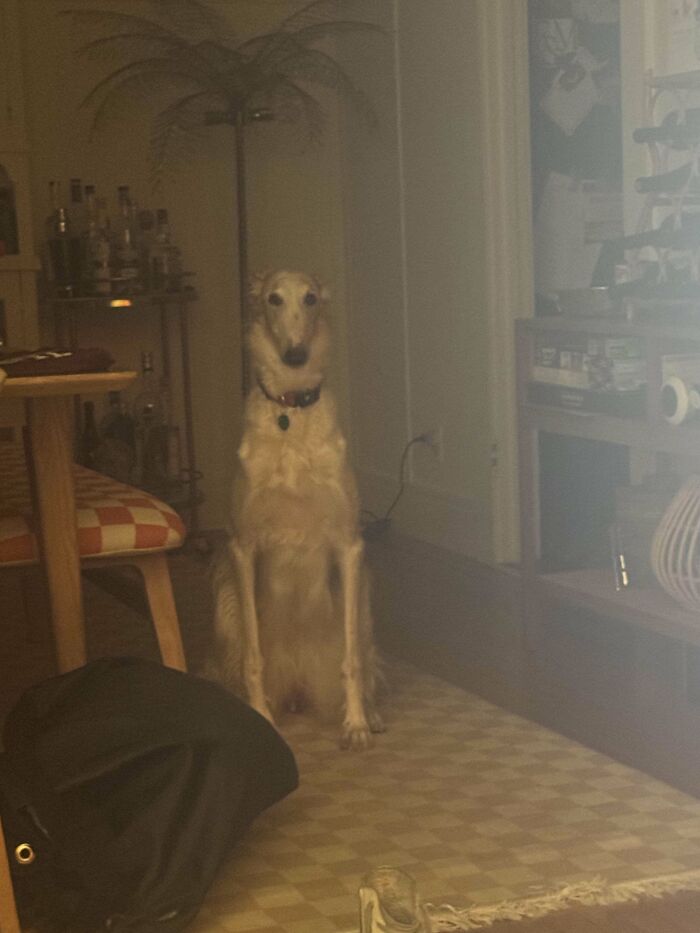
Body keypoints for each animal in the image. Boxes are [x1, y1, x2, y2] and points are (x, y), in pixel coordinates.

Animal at [209, 270, 382, 748]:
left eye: (310, 298)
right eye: (273, 299)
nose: (295, 355)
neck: (291, 413)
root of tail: (301, 686)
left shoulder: (349, 545)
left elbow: (351, 659)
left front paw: (356, 724)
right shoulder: (242, 546)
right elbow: (253, 657)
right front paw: (261, 720)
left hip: (363, 597)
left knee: (363, 658)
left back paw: (370, 712)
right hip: (224, 603)